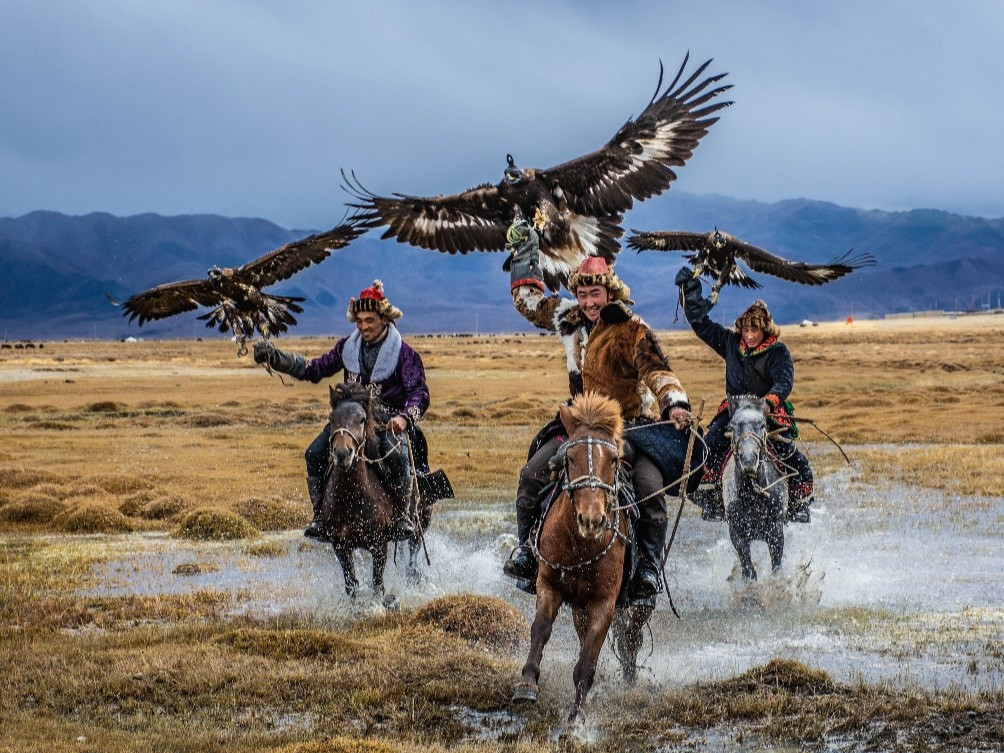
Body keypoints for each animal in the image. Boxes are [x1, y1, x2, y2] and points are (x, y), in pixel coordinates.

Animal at [323, 383, 429, 606]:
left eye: (362, 419)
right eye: (332, 418)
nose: (342, 454)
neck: (352, 496)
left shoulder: (379, 545)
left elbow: (377, 584)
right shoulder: (341, 546)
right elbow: (351, 585)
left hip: (419, 525)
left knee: (413, 557)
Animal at [514, 391, 646, 722]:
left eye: (613, 459)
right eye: (569, 458)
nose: (592, 520)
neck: (580, 545)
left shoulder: (604, 603)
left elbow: (588, 657)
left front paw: (577, 715)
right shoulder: (549, 585)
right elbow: (540, 630)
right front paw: (527, 683)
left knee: (632, 637)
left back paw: (629, 678)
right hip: (578, 605)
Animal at [726, 397, 787, 582]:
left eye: (762, 424)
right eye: (732, 426)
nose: (748, 460)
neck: (752, 497)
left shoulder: (775, 531)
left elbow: (776, 566)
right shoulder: (737, 534)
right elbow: (749, 569)